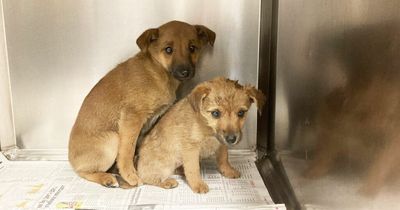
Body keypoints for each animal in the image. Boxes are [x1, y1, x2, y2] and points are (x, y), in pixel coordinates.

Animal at [68, 20, 216, 188]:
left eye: (192, 48)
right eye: (168, 50)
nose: (185, 72)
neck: (157, 71)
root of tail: (71, 159)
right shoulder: (132, 118)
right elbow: (127, 151)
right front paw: (131, 176)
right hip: (112, 138)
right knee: (83, 172)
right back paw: (106, 178)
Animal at [137, 77, 266, 194]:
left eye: (241, 113)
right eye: (215, 113)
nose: (231, 139)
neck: (207, 127)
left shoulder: (221, 144)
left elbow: (224, 159)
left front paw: (228, 171)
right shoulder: (191, 148)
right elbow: (193, 169)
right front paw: (198, 184)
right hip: (164, 164)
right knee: (145, 176)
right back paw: (166, 181)